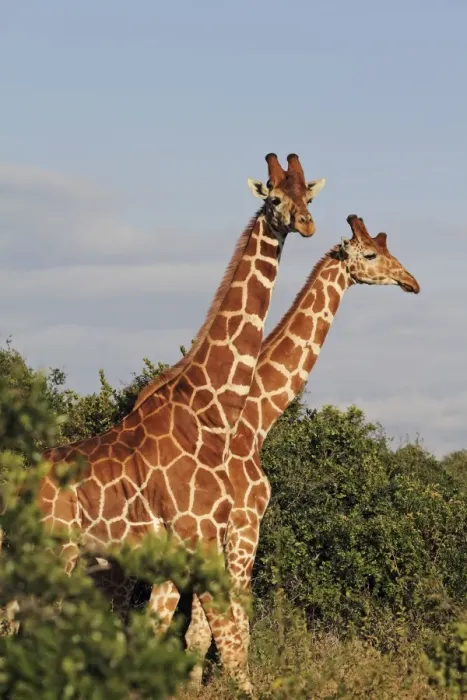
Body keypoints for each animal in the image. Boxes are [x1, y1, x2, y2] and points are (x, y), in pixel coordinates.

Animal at [32, 153, 326, 694]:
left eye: (308, 196)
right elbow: (228, 641)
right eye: (274, 196)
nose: (306, 223)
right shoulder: (200, 535)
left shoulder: (197, 541)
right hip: (56, 554)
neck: (211, 411)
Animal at [171, 214, 420, 688]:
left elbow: (200, 629)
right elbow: (235, 623)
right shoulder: (246, 523)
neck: (256, 420)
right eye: (371, 254)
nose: (410, 281)